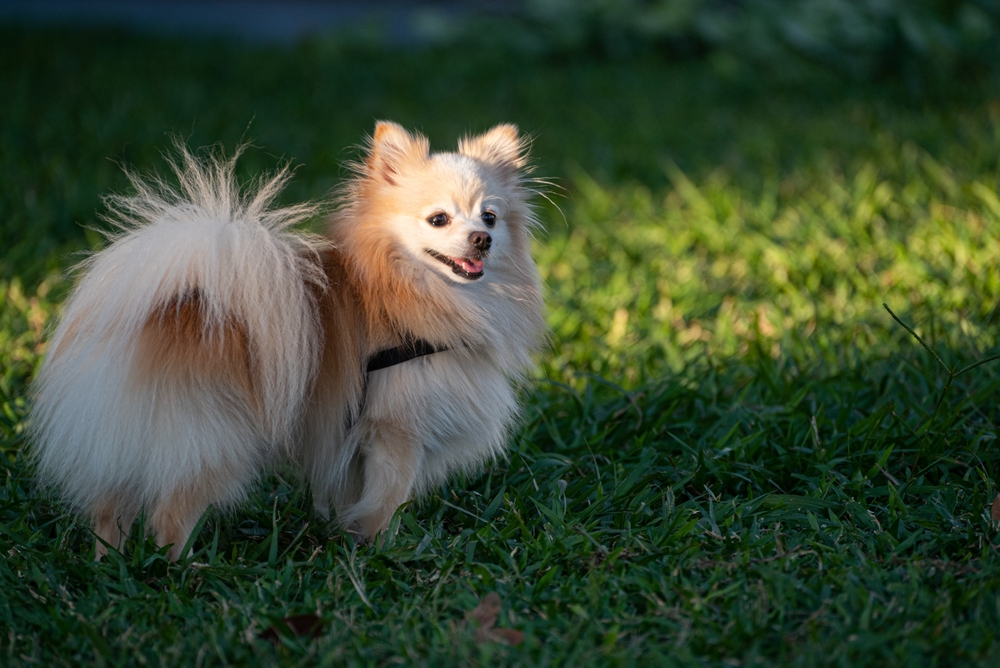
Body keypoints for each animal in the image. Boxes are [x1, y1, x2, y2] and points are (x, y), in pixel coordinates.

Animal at [31, 121, 548, 560]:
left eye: (490, 218)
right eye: (439, 219)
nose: (481, 239)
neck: (413, 289)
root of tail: (177, 300)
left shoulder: (349, 442)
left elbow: (350, 500)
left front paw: (348, 540)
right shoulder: (396, 432)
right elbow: (387, 503)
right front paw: (382, 552)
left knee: (109, 509)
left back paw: (110, 562)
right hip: (213, 441)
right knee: (170, 517)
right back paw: (178, 571)